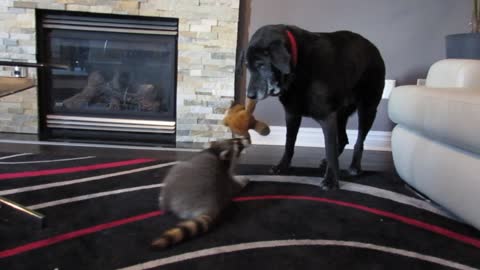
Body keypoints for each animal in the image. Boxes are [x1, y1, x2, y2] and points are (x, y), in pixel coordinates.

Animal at [246, 25, 384, 190]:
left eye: (261, 65)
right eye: (247, 67)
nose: (249, 95)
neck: (298, 63)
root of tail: (374, 48)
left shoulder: (327, 117)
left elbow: (329, 148)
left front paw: (331, 180)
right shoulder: (292, 114)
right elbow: (289, 143)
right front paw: (282, 166)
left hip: (367, 109)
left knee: (359, 141)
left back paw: (355, 167)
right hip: (341, 115)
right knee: (344, 139)